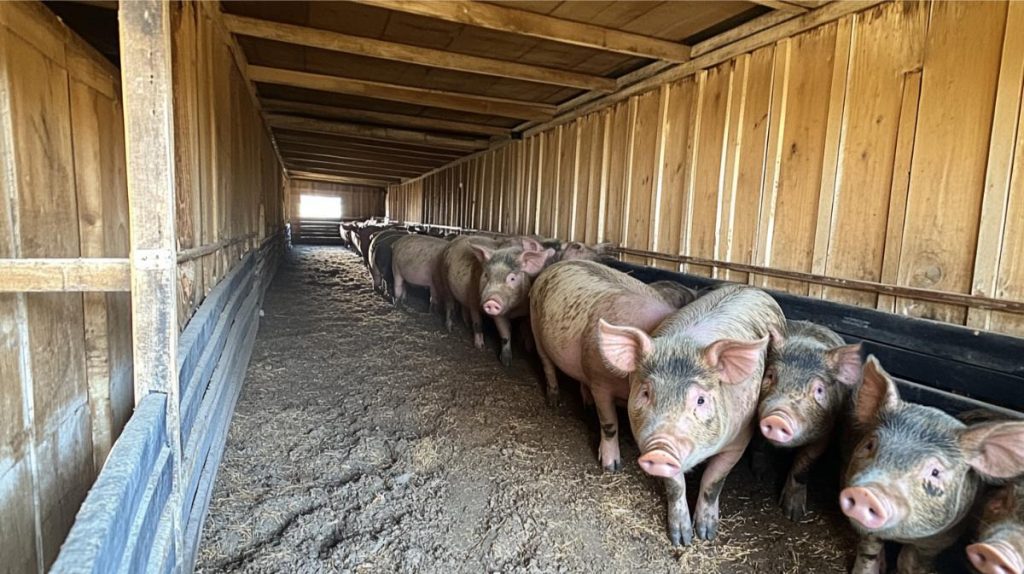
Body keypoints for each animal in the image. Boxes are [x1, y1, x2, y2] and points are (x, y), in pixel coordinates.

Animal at [528, 258, 679, 470]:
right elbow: (609, 424)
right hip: (535, 325)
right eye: (648, 390)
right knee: (547, 365)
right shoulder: (601, 383)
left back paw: (587, 405)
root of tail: (555, 265)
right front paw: (611, 467)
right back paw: (554, 401)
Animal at [598, 284, 778, 544]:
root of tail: (750, 287)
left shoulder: (739, 439)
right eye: (646, 393)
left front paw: (706, 535)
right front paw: (681, 539)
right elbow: (675, 487)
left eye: (700, 400)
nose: (661, 449)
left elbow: (713, 482)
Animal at [753, 319, 864, 521]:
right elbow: (758, 444)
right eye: (770, 376)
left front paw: (794, 515)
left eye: (819, 390)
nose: (778, 417)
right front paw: (760, 475)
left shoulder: (823, 434)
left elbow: (803, 465)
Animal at [839, 356, 1024, 568]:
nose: (866, 493)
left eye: (935, 472)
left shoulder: (940, 541)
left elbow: (909, 562)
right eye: (870, 445)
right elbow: (868, 551)